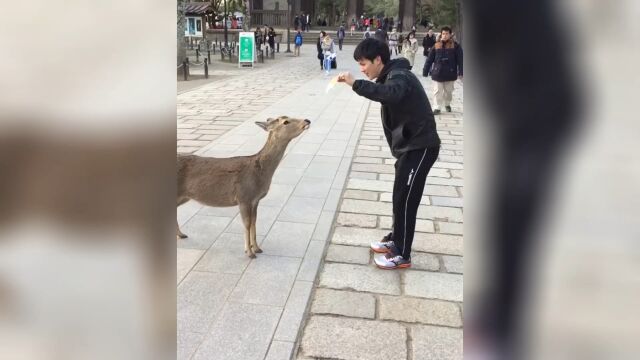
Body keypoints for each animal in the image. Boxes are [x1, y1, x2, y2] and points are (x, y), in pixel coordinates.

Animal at [176, 116, 312, 258]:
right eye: (285, 121)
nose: (307, 120)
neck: (260, 174)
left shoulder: (255, 200)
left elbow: (254, 222)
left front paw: (257, 248)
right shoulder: (243, 197)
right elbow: (247, 224)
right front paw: (249, 252)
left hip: (183, 196)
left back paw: (181, 234)